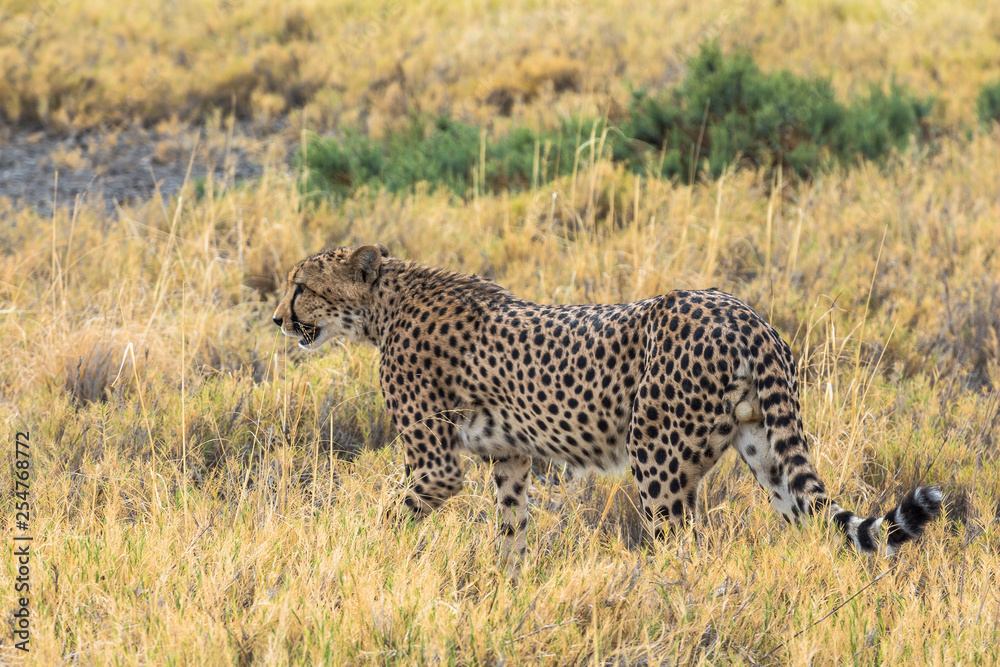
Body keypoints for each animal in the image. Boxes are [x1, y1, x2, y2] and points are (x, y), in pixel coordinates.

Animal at [272, 244, 942, 573]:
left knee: (686, 551)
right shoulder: (510, 458)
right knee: (812, 521)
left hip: (657, 460)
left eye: (301, 286)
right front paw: (505, 591)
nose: (277, 318)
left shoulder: (436, 468)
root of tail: (740, 311)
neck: (382, 306)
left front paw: (352, 553)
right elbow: (510, 532)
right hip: (766, 452)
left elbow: (387, 515)